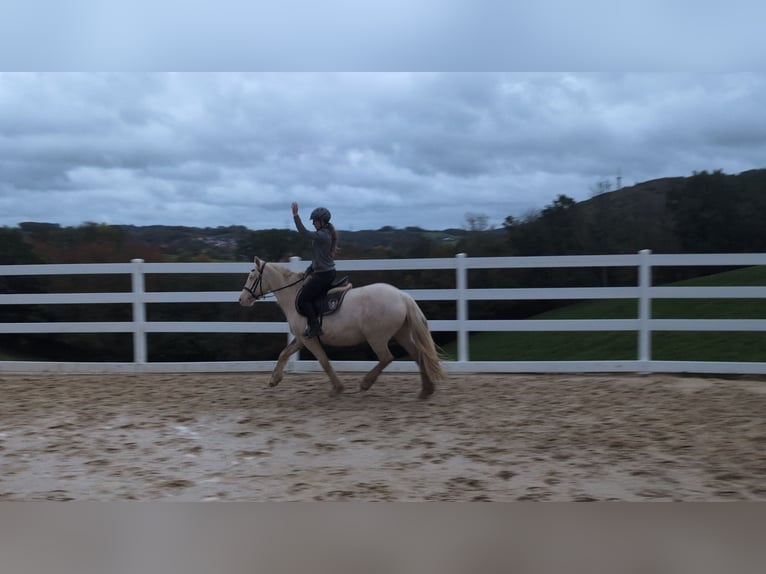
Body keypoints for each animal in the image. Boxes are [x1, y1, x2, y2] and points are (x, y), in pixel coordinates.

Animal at [238, 256, 445, 398]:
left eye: (252, 276)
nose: (242, 299)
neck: (294, 295)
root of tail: (402, 296)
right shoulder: (301, 338)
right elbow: (284, 353)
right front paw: (274, 380)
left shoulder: (309, 339)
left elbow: (324, 361)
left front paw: (338, 388)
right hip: (401, 334)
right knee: (418, 355)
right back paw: (426, 391)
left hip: (377, 338)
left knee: (387, 357)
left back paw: (366, 383)